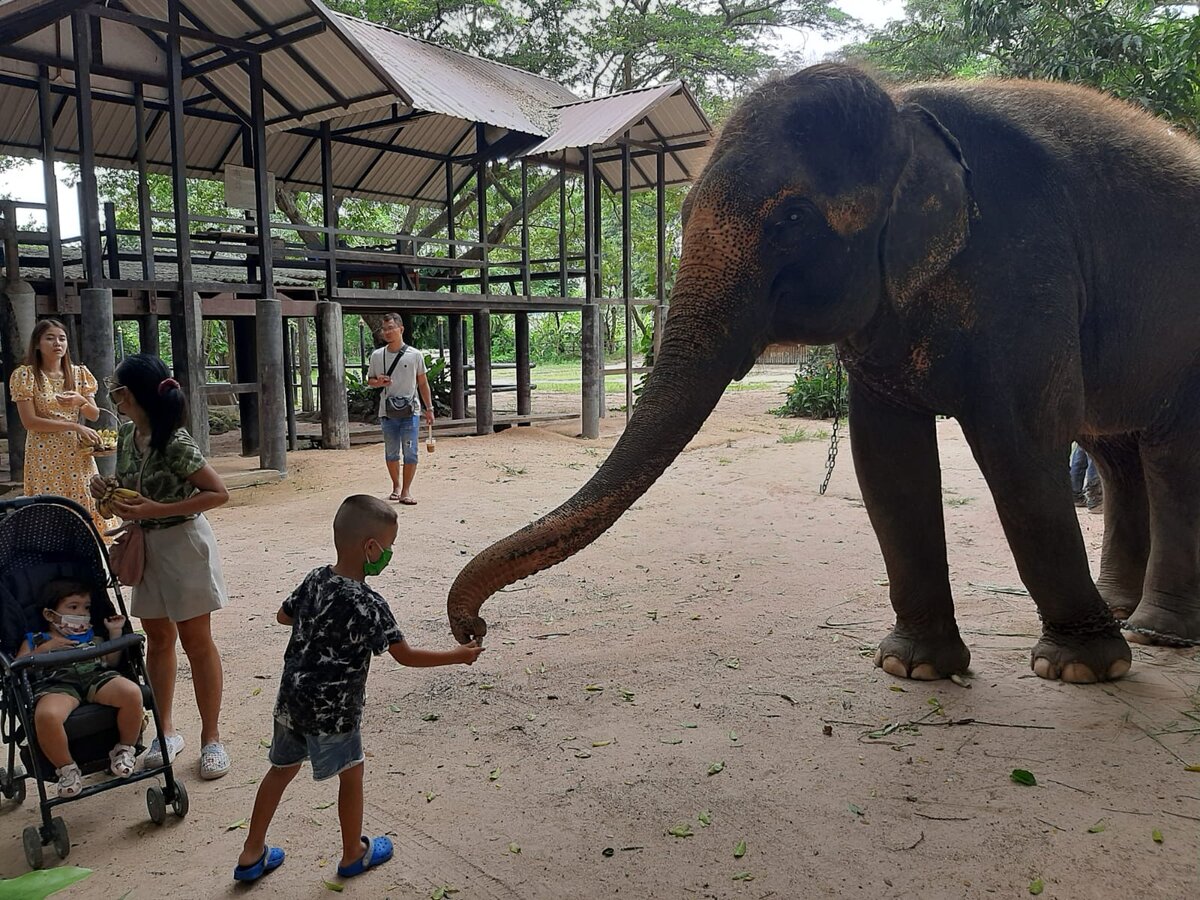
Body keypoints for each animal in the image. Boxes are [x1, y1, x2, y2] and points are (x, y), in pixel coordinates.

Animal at [446, 63, 1200, 681]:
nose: (472, 630)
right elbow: (886, 457)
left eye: (793, 218)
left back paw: (1155, 634)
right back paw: (1128, 611)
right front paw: (912, 667)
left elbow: (1022, 441)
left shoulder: (1026, 263)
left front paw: (1078, 670)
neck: (906, 108)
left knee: (1166, 452)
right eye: (682, 212)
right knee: (1116, 451)